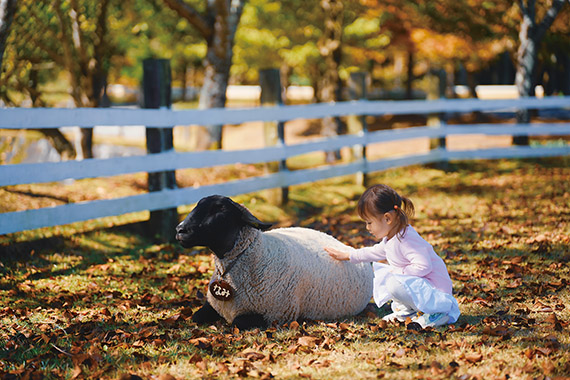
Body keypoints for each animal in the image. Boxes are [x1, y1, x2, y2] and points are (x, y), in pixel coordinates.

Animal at [173, 194, 372, 332]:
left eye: (219, 209)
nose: (179, 230)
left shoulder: (270, 314)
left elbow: (237, 323)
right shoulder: (213, 304)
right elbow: (196, 317)